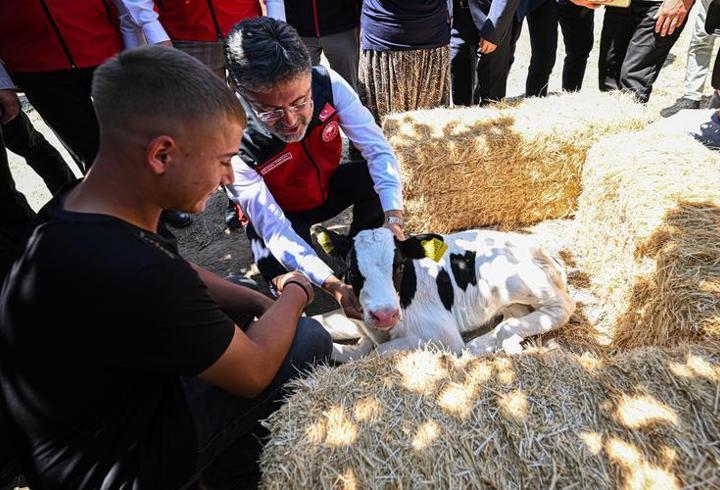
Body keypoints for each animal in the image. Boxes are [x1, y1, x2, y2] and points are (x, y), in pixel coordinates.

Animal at [320, 228, 572, 362]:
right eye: (353, 271)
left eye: (400, 266)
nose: (384, 315)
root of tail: (535, 246)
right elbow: (325, 326)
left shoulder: (443, 335)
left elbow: (378, 352)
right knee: (514, 316)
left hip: (511, 280)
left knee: (562, 306)